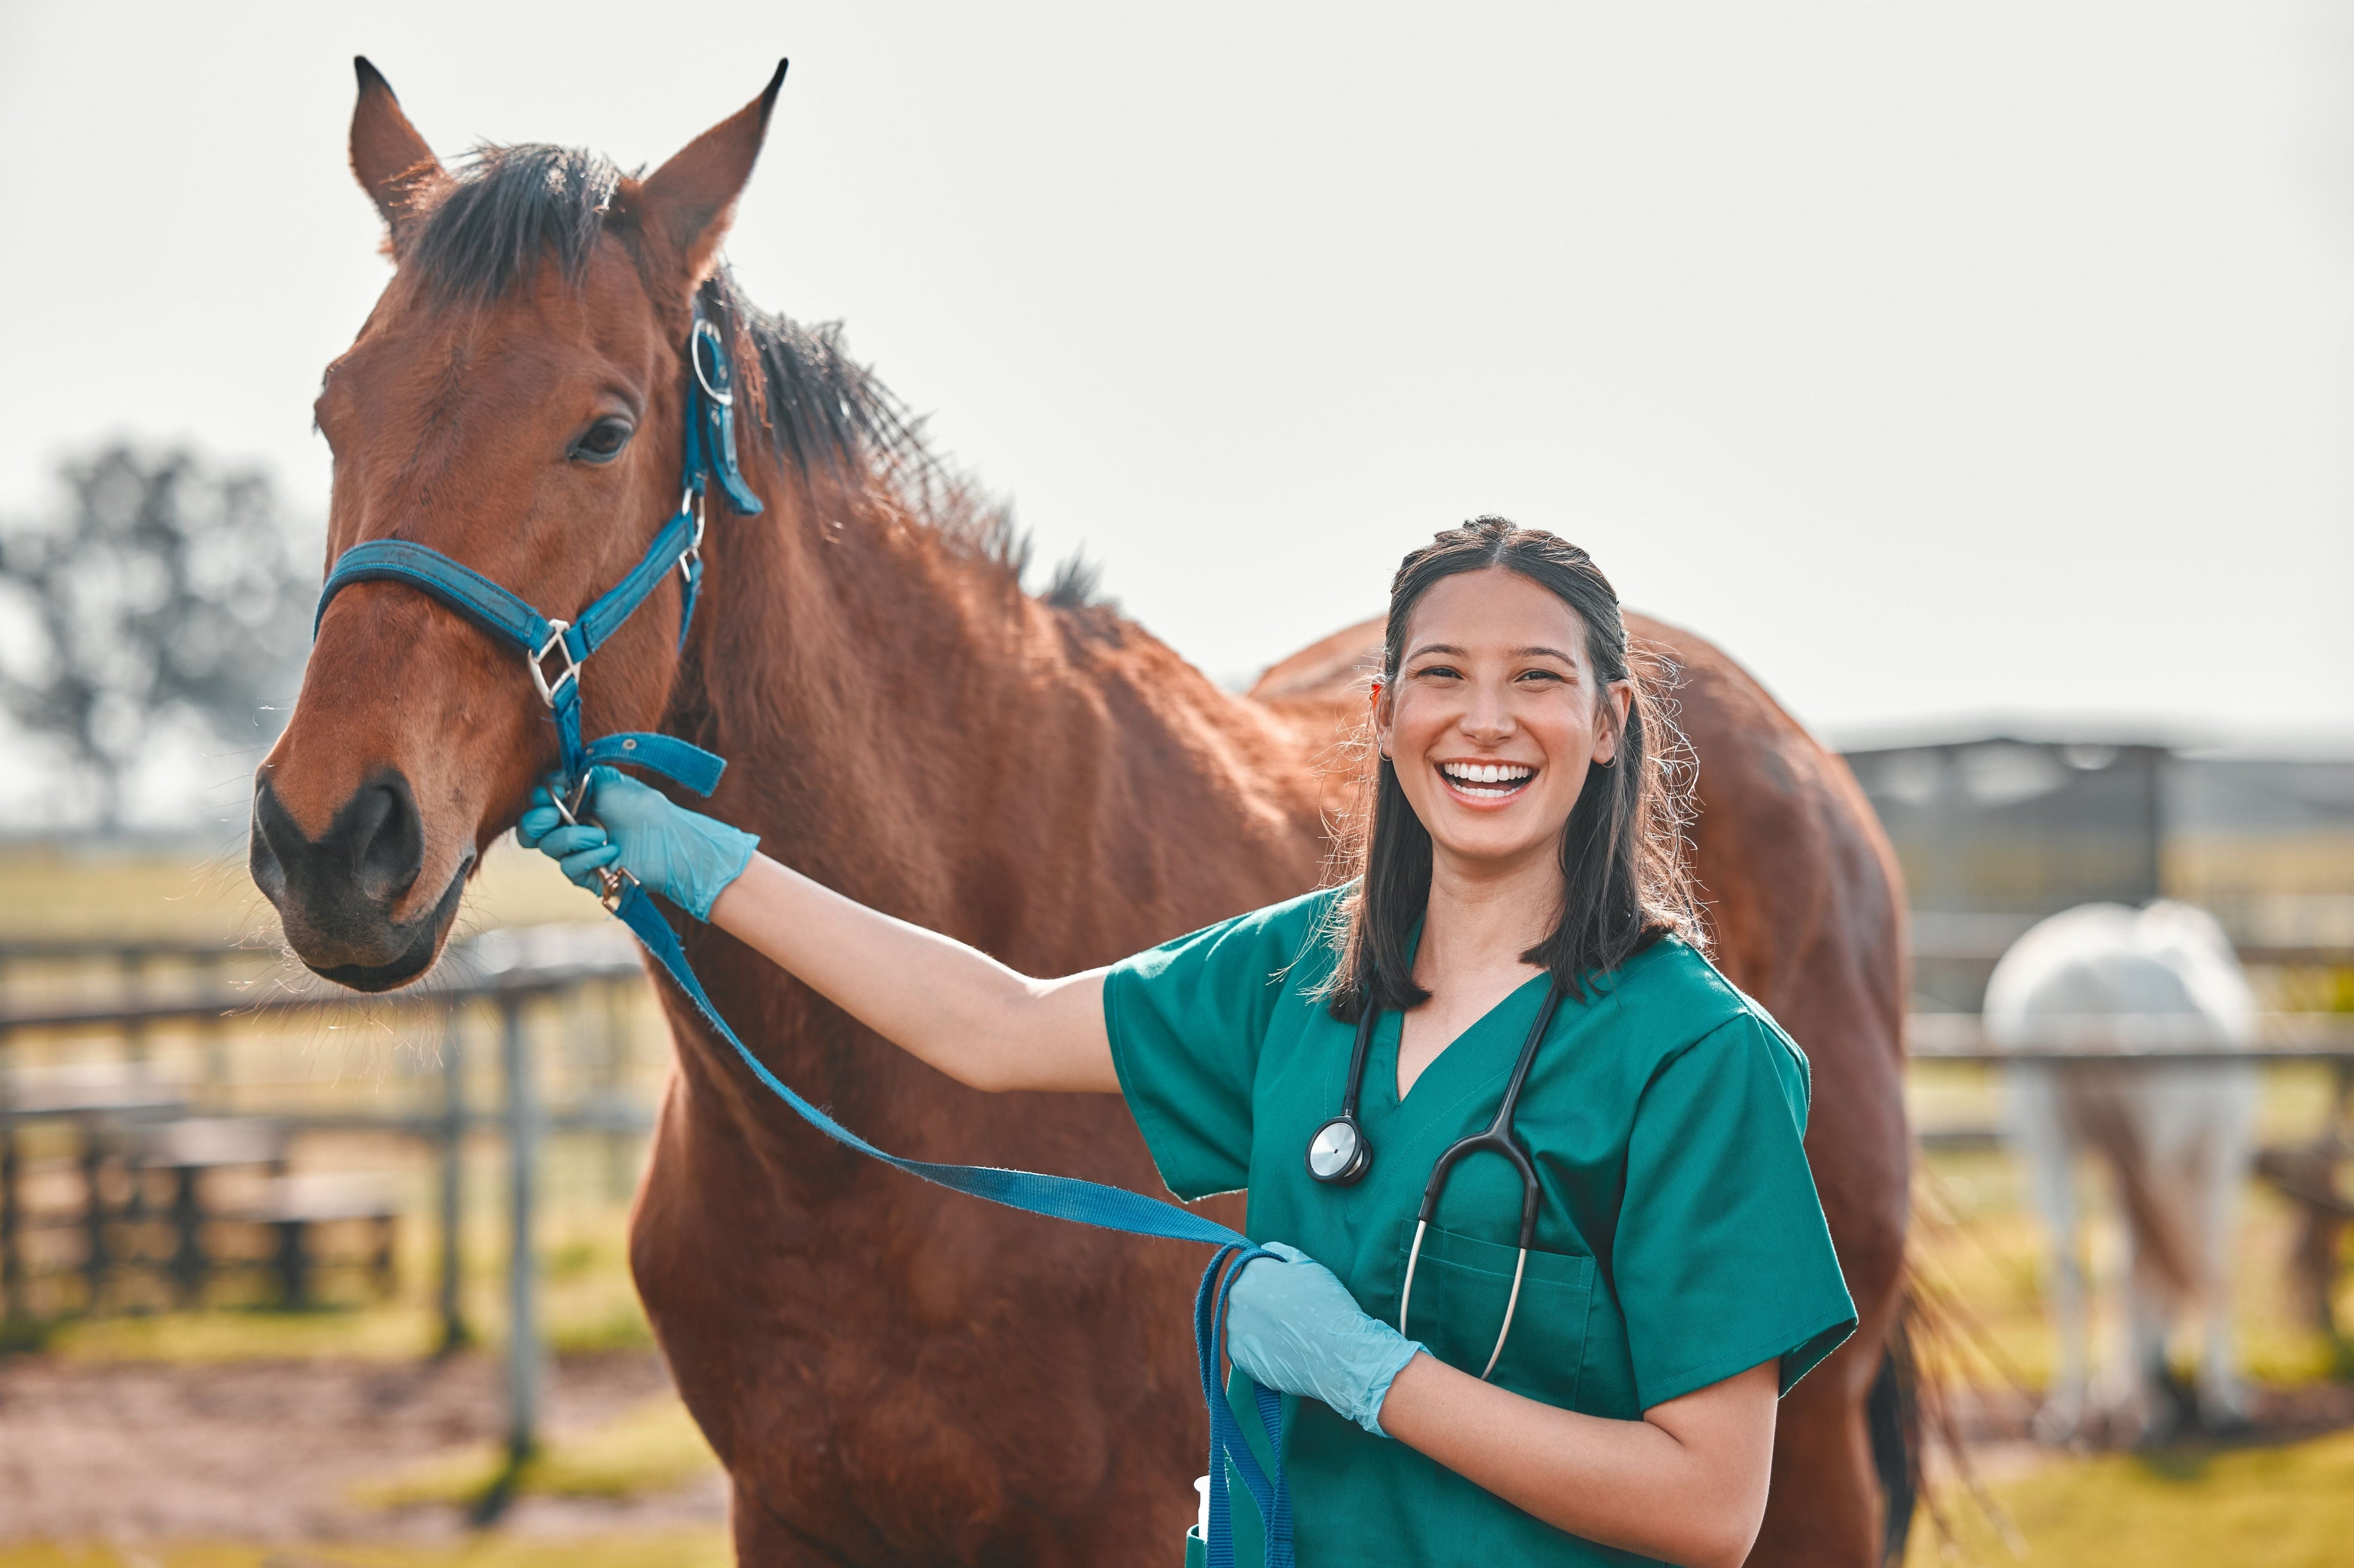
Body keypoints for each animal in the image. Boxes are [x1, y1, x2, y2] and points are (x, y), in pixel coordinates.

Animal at [1984, 900, 2259, 1446]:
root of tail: (2088, 969)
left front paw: (2112, 1389)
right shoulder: (2217, 1158)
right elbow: (2209, 1266)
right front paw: (2222, 1398)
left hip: (2047, 1143)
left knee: (2069, 1265)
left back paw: (2069, 1410)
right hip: (2149, 1148)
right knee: (2141, 1265)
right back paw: (2145, 1413)